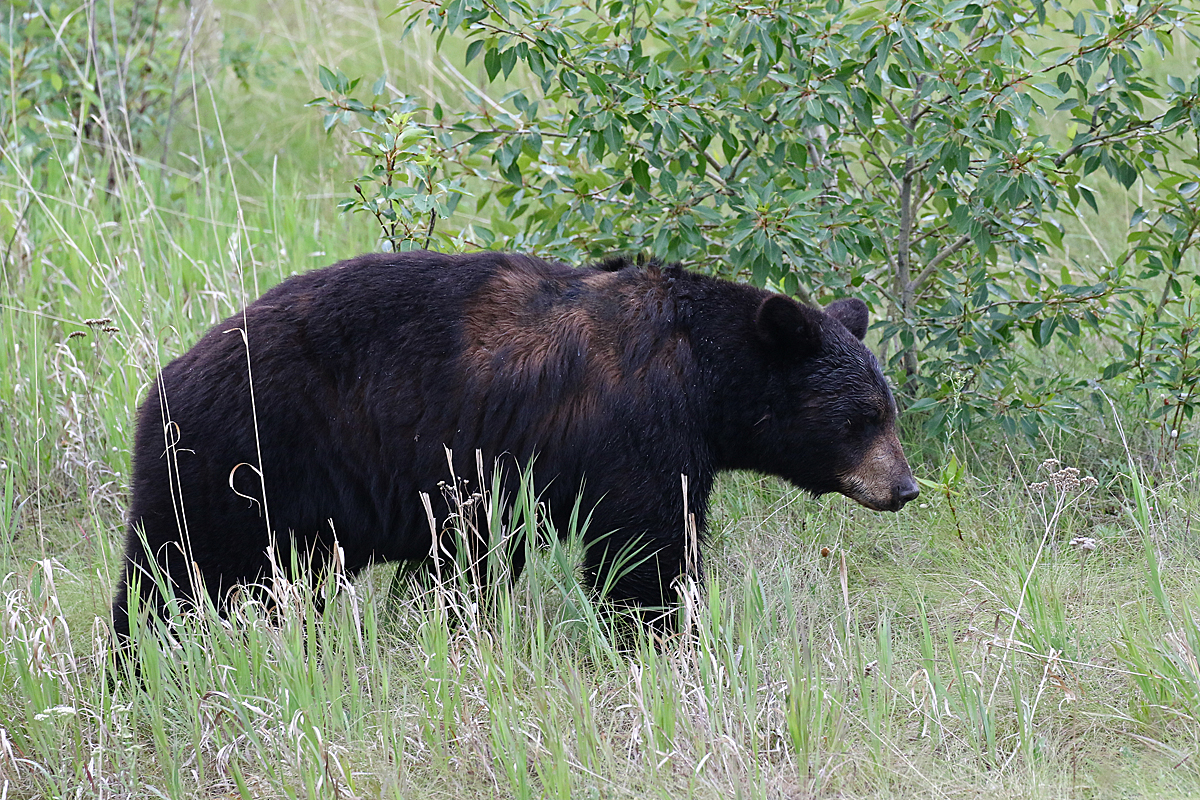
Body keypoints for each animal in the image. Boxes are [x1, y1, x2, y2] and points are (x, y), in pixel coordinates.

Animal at [112, 250, 916, 638]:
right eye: (862, 418)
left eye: (889, 411)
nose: (904, 488)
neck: (700, 370)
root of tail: (161, 386)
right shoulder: (636, 429)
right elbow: (644, 549)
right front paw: (660, 637)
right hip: (242, 464)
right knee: (173, 577)